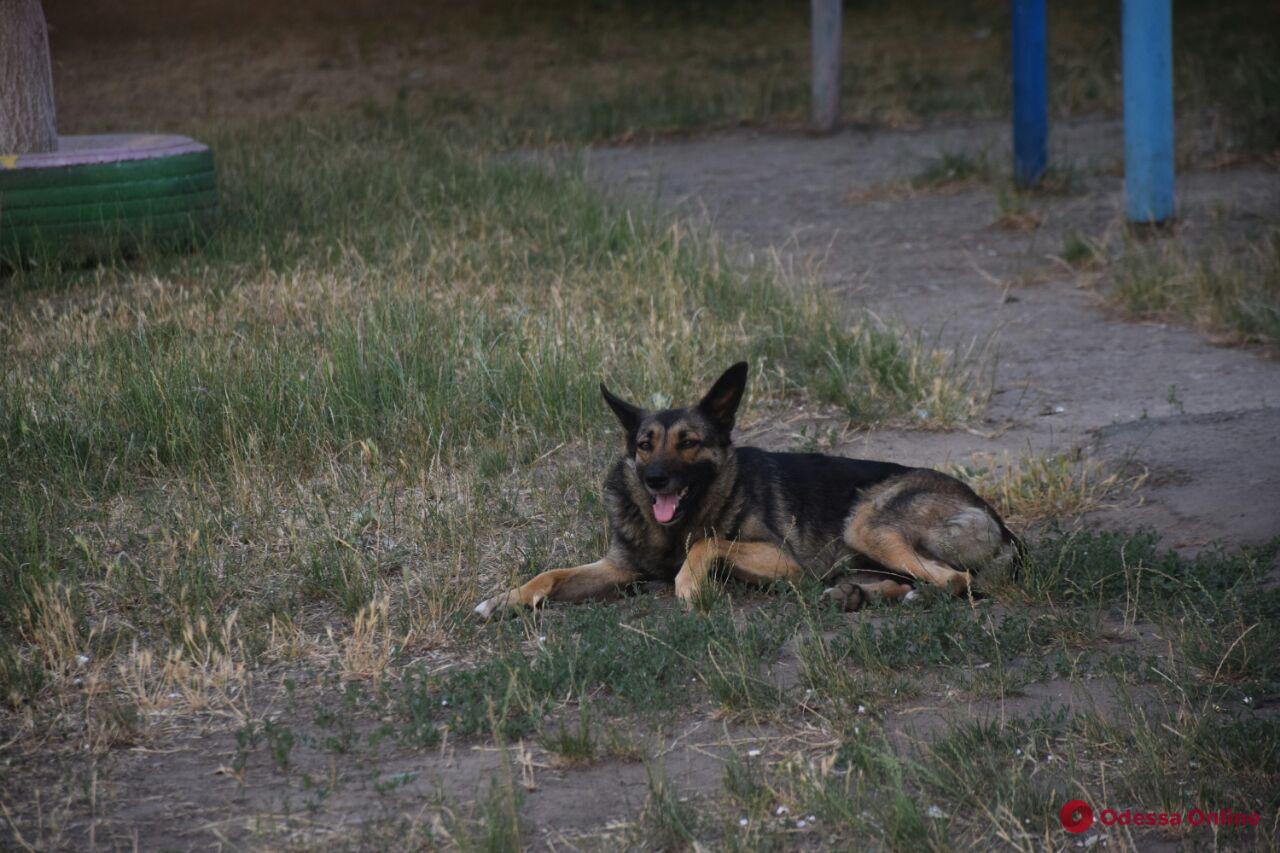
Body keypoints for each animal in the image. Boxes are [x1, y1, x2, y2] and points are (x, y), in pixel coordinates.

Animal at [471, 361, 1018, 617]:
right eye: (645, 445)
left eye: (689, 443)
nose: (654, 480)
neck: (678, 526)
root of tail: (993, 516)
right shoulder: (616, 569)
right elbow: (551, 574)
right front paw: (506, 599)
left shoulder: (783, 562)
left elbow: (710, 543)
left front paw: (689, 584)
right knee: (912, 579)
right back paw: (854, 595)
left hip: (867, 524)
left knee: (953, 580)